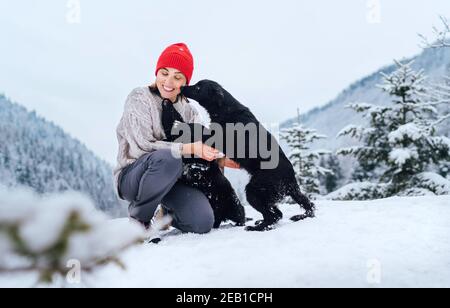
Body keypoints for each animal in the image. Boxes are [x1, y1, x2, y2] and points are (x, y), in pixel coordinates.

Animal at [178, 80, 314, 231]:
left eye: (198, 87)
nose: (181, 87)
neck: (225, 109)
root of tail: (291, 181)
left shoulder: (217, 137)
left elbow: (200, 128)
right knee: (280, 213)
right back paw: (260, 222)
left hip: (254, 191)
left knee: (274, 215)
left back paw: (257, 227)